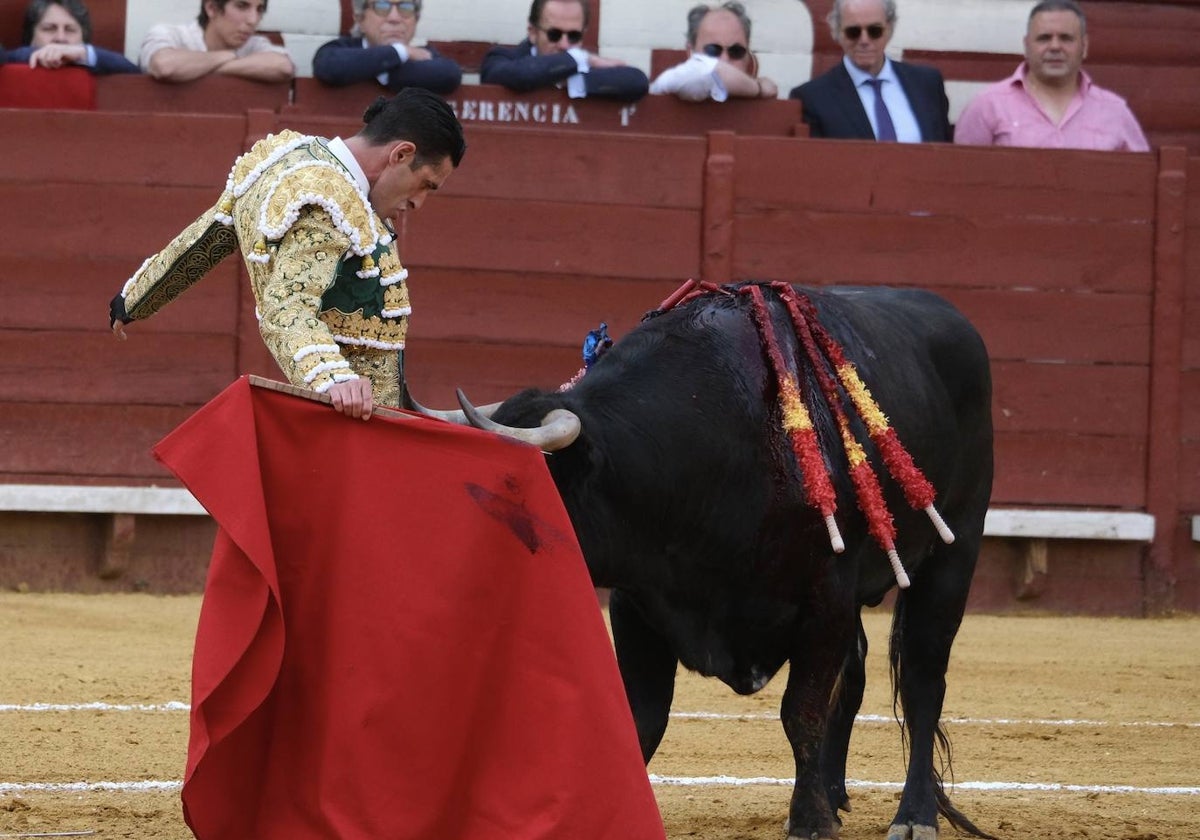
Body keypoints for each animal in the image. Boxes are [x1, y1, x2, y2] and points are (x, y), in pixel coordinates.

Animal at [477, 284, 993, 840]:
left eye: (523, 481)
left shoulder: (824, 598)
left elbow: (801, 712)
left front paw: (809, 822)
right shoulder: (638, 603)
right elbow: (643, 716)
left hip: (955, 551)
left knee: (922, 683)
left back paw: (914, 816)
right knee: (854, 676)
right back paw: (834, 795)